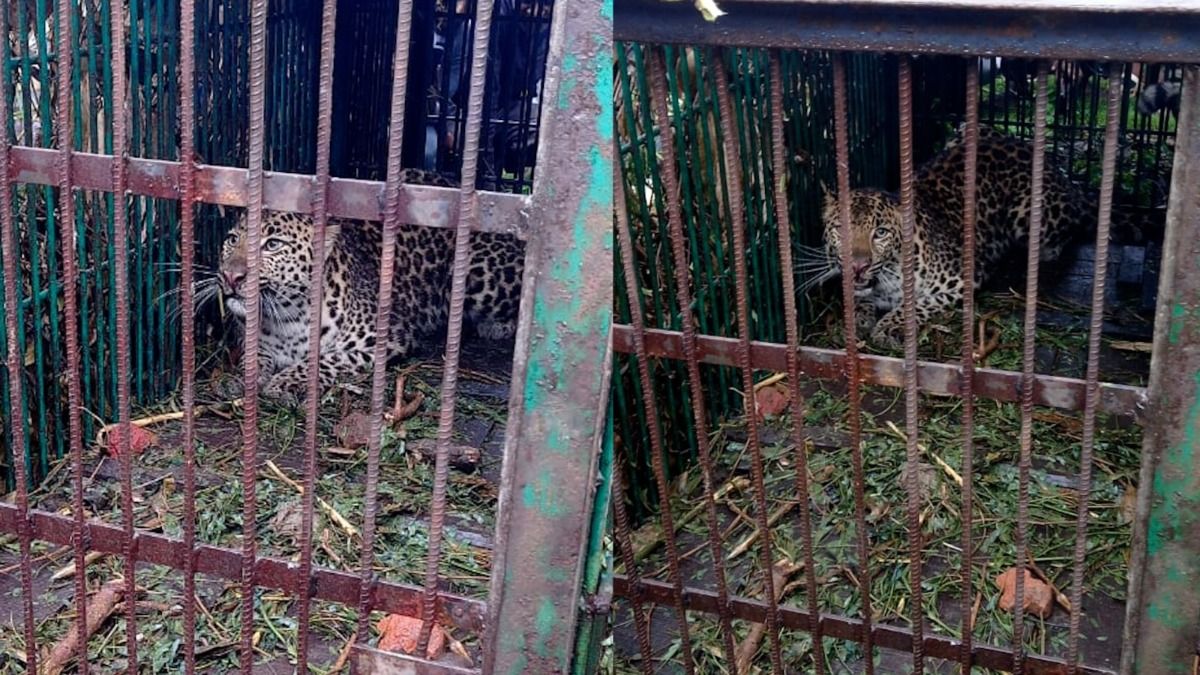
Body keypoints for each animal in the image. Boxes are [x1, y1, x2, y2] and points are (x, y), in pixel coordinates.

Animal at [208, 168, 524, 404]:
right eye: (232, 239)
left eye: (273, 245)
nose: (231, 277)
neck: (286, 320)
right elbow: (253, 359)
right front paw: (235, 378)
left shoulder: (387, 338)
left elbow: (325, 360)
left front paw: (284, 382)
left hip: (478, 274)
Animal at [801, 125, 1108, 350]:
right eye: (840, 229)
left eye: (881, 232)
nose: (858, 266)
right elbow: (856, 298)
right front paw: (855, 320)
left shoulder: (965, 278)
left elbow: (918, 303)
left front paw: (888, 326)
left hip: (1033, 216)